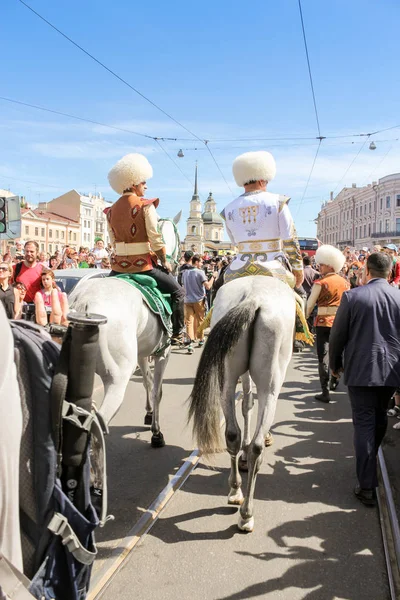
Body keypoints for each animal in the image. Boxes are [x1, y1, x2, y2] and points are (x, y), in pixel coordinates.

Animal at [69, 213, 181, 448]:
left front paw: (148, 414)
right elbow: (157, 390)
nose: (176, 264)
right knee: (98, 422)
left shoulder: (142, 353)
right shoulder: (163, 353)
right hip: (118, 376)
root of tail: (83, 301)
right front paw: (156, 432)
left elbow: (147, 381)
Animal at [188, 276, 294, 528]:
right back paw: (247, 513)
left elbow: (246, 403)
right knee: (257, 445)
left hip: (227, 377)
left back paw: (235, 491)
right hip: (271, 385)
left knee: (232, 434)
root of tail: (254, 298)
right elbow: (249, 404)